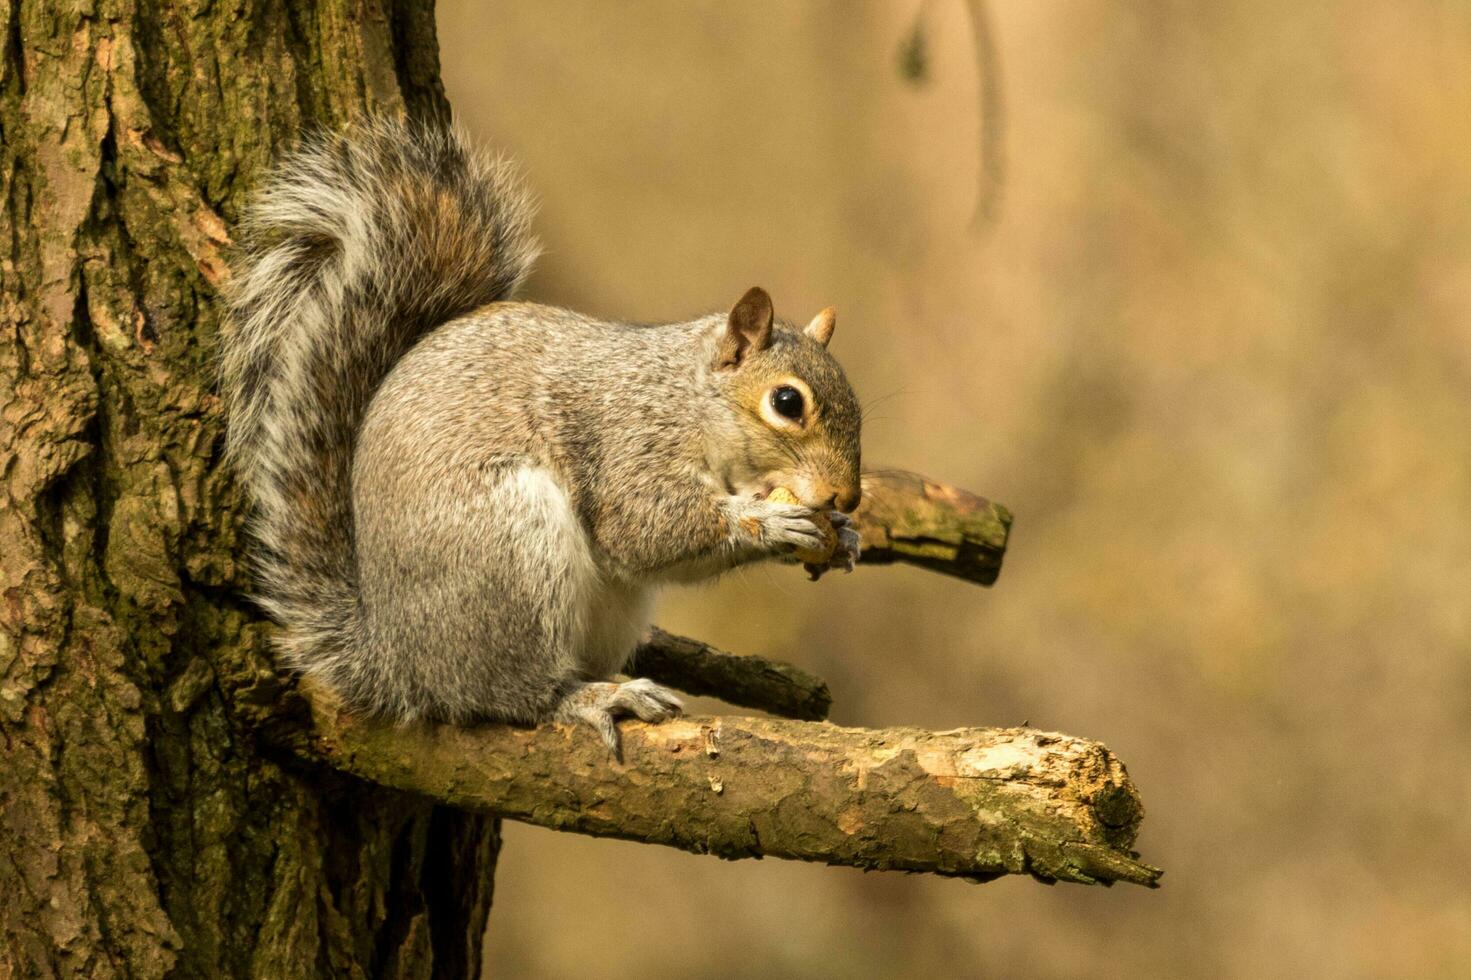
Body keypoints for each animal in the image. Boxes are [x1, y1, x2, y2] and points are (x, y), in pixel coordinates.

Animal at [217, 119, 859, 747]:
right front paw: (770, 521)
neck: (685, 398)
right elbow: (645, 531)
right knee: (511, 697)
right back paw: (587, 698)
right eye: (786, 402)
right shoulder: (625, 440)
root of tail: (398, 662)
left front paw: (844, 535)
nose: (847, 497)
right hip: (509, 551)